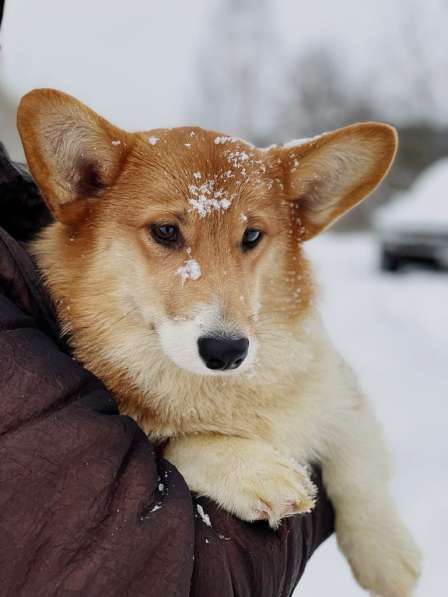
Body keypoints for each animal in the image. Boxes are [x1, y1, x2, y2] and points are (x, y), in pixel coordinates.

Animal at [17, 89, 422, 596]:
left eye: (251, 236)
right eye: (166, 231)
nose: (227, 352)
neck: (223, 391)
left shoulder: (336, 387)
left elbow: (359, 464)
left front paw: (386, 555)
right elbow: (177, 442)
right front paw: (255, 470)